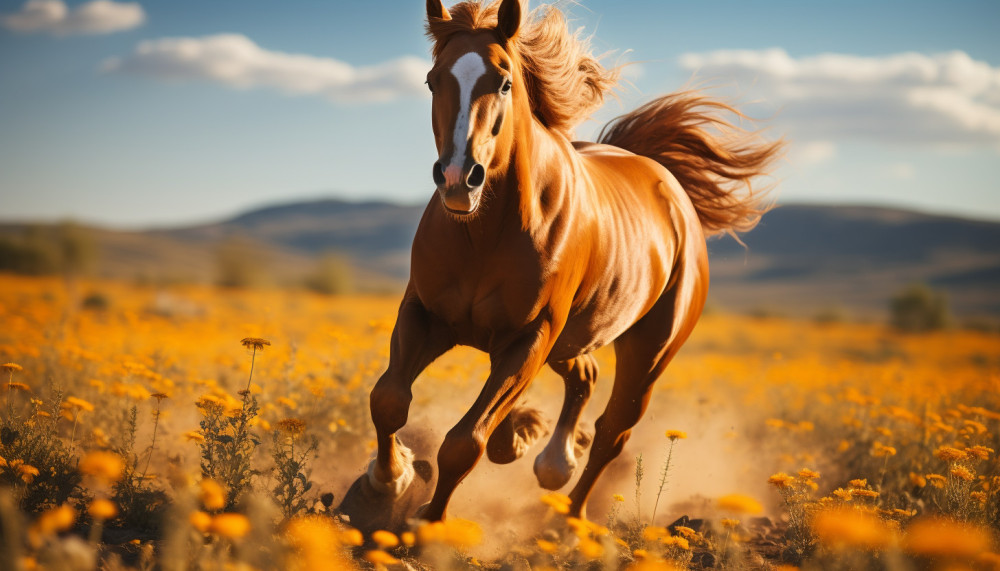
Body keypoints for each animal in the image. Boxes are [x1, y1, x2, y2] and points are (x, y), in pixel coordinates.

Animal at [337, 0, 782, 532]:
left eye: (504, 82)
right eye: (431, 79)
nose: (458, 179)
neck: (483, 233)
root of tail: (665, 183)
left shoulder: (530, 338)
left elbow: (464, 442)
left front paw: (430, 522)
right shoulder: (426, 314)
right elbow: (388, 400)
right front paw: (387, 482)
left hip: (647, 353)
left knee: (613, 432)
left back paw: (566, 521)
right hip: (572, 337)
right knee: (584, 376)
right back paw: (549, 460)